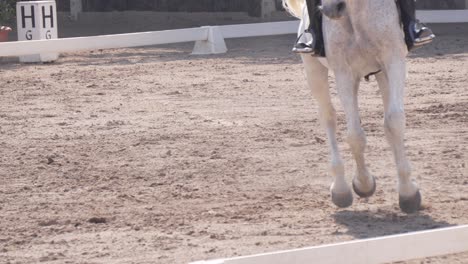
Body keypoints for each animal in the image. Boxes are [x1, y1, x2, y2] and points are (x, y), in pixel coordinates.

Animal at [284, 0, 422, 212]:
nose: (331, 10)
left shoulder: (394, 60)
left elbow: (394, 122)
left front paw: (408, 192)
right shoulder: (344, 72)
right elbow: (355, 136)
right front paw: (364, 184)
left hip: (381, 74)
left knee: (387, 122)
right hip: (314, 71)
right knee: (328, 117)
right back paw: (340, 188)